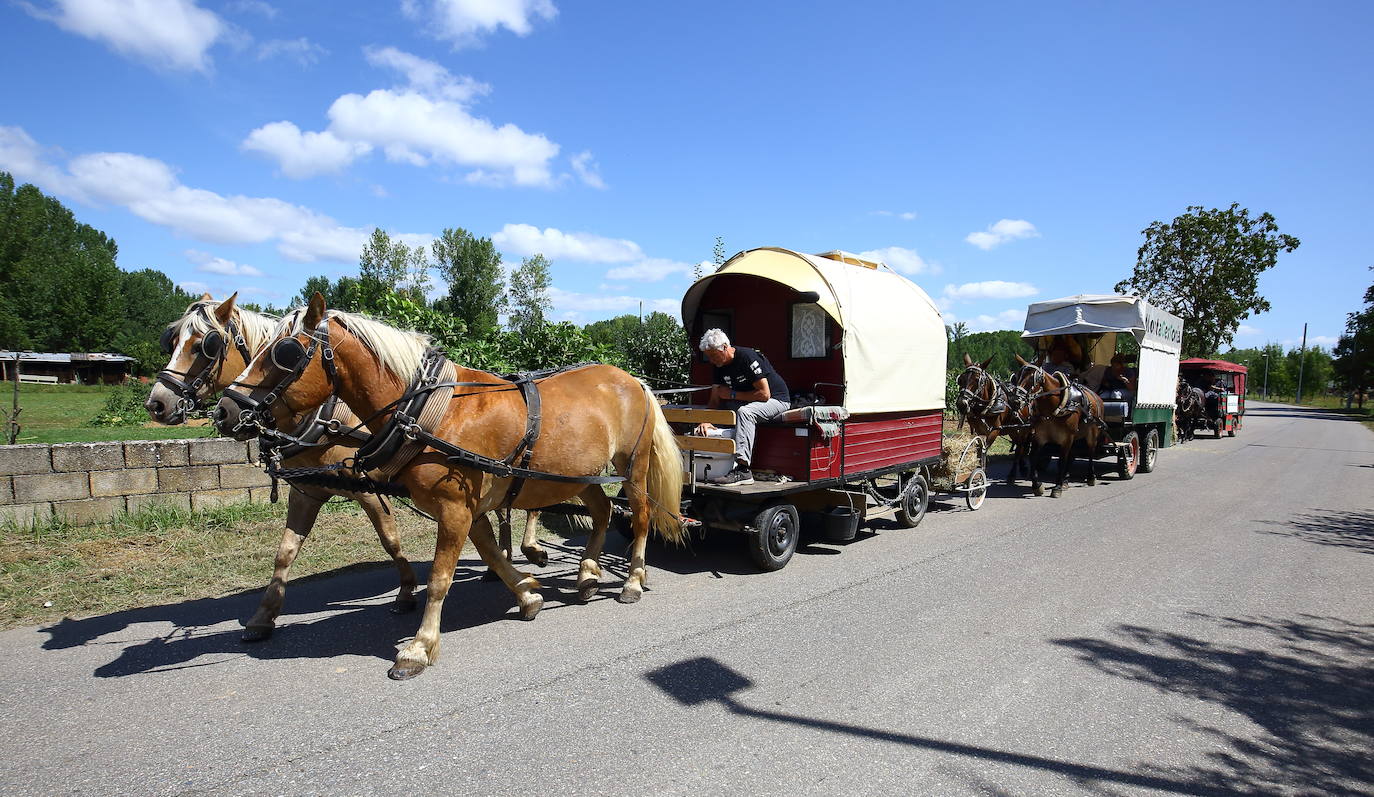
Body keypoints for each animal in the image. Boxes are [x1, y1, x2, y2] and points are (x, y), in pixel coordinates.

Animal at [144, 296, 420, 640]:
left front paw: (407, 591)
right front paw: (263, 616)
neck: (323, 415)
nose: (156, 404)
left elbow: (390, 538)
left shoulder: (367, 488)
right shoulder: (307, 492)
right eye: (170, 341)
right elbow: (285, 551)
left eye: (204, 345)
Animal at [217, 292, 684, 678]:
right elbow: (490, 552)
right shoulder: (465, 507)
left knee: (641, 515)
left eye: (285, 352)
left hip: (632, 467)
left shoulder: (455, 507)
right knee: (602, 510)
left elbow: (442, 576)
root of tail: (634, 381)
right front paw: (528, 594)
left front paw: (419, 647)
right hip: (576, 474)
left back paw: (631, 580)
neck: (427, 412)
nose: (225, 411)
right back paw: (587, 574)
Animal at [956, 354, 1033, 486]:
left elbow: (984, 450)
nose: (961, 403)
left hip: (1024, 428)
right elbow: (978, 450)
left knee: (1020, 448)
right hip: (1013, 430)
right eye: (960, 379)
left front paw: (980, 475)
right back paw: (1022, 467)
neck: (984, 407)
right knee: (1020, 445)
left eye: (977, 380)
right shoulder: (978, 431)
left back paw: (1013, 474)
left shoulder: (994, 430)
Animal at [1016, 357, 1110, 497]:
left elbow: (1061, 461)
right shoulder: (1040, 437)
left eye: (1032, 378)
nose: (1016, 399)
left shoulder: (1067, 438)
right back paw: (1065, 479)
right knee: (1072, 455)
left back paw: (1090, 477)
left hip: (1092, 434)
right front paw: (1037, 485)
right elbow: (1034, 458)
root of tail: (1098, 397)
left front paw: (1057, 487)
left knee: (1091, 452)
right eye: (1017, 376)